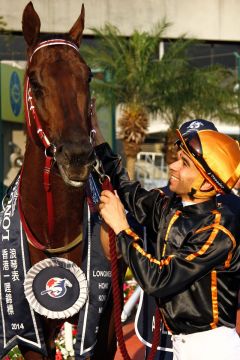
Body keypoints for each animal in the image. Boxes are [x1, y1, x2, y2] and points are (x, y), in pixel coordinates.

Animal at [15, 2, 115, 360]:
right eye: (34, 81)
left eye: (87, 76)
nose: (77, 156)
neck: (52, 232)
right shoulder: (30, 329)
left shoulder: (102, 323)